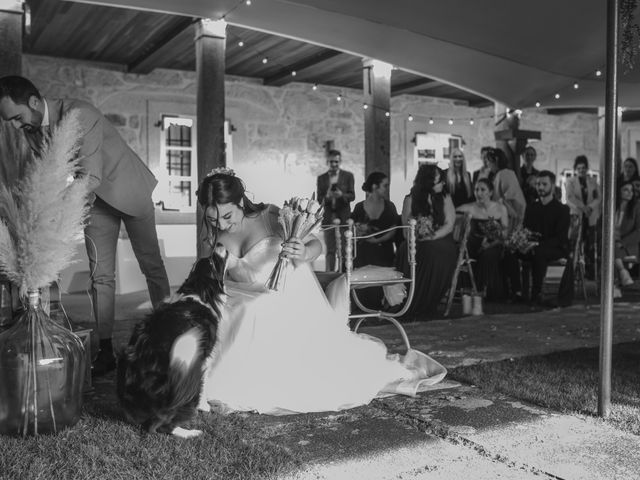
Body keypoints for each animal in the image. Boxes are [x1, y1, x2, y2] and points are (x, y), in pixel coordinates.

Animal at [117, 255, 225, 438]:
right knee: (159, 426)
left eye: (208, 261)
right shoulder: (205, 357)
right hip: (188, 377)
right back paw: (191, 433)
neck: (196, 290)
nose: (217, 251)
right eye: (214, 263)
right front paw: (205, 406)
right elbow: (206, 384)